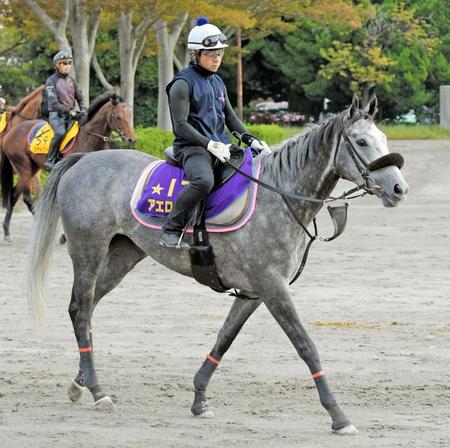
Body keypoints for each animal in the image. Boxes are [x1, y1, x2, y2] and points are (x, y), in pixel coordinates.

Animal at [1, 90, 135, 242]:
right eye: (118, 117)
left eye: (129, 115)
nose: (131, 139)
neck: (88, 138)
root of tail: (11, 132)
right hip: (24, 168)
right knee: (22, 197)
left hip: (32, 168)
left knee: (16, 195)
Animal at [27, 97, 408, 434]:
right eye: (361, 141)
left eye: (383, 139)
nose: (398, 188)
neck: (278, 195)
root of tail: (83, 161)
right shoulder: (273, 288)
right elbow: (305, 345)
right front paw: (338, 415)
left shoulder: (254, 293)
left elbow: (224, 339)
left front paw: (199, 397)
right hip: (88, 250)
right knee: (81, 310)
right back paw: (96, 390)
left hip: (122, 256)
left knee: (84, 309)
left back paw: (79, 383)